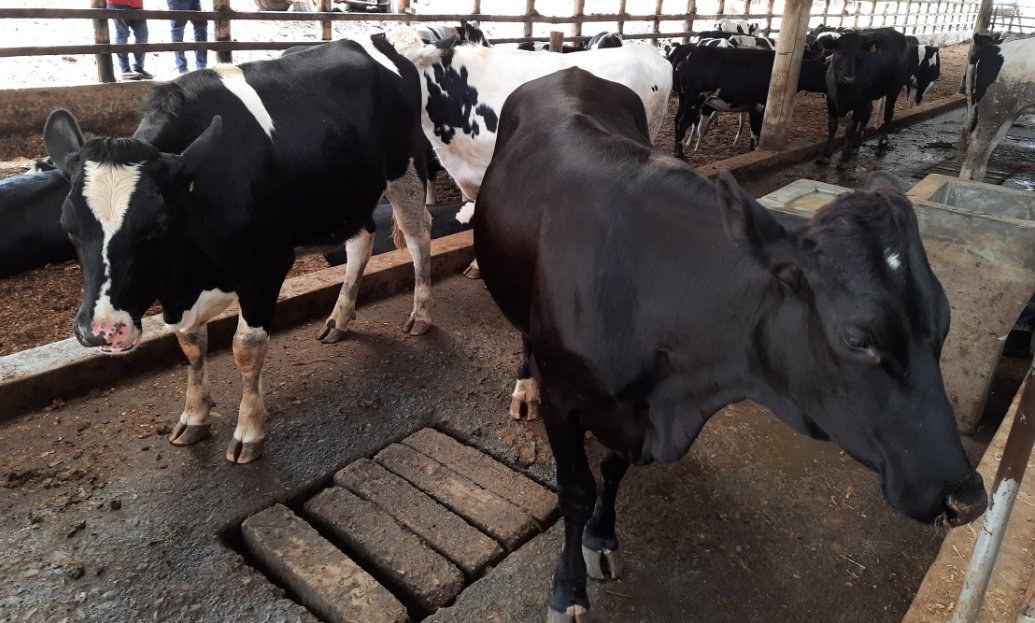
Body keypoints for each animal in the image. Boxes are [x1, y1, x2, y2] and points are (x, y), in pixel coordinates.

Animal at [42, 35, 432, 464]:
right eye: (68, 226)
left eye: (156, 225)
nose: (101, 330)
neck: (187, 276)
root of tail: (375, 40)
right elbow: (190, 346)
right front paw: (194, 417)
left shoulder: (265, 267)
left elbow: (247, 348)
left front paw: (248, 431)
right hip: (344, 195)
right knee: (361, 241)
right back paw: (339, 319)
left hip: (405, 169)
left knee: (419, 237)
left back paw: (421, 315)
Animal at [474, 67, 987, 623]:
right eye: (857, 337)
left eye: (945, 320)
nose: (967, 498)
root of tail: (570, 71)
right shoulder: (567, 399)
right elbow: (575, 490)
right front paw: (567, 590)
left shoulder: (635, 414)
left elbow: (611, 470)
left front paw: (603, 537)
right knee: (524, 335)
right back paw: (524, 387)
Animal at [820, 27, 911, 167]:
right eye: (839, 53)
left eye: (859, 56)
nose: (849, 78)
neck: (842, 91)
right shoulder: (831, 100)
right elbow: (832, 126)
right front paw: (827, 154)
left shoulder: (859, 103)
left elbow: (850, 129)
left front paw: (844, 157)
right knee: (867, 115)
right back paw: (856, 145)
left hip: (894, 89)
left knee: (888, 115)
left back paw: (881, 146)